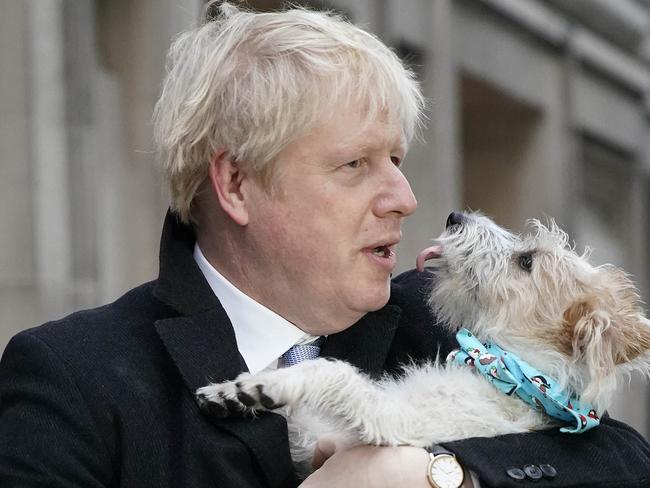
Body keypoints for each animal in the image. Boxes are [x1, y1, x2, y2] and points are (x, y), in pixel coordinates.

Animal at [196, 212, 648, 474]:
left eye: (526, 261)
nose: (455, 216)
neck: (507, 371)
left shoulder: (395, 422)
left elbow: (334, 374)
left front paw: (260, 387)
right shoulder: (326, 433)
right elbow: (302, 418)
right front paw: (230, 392)